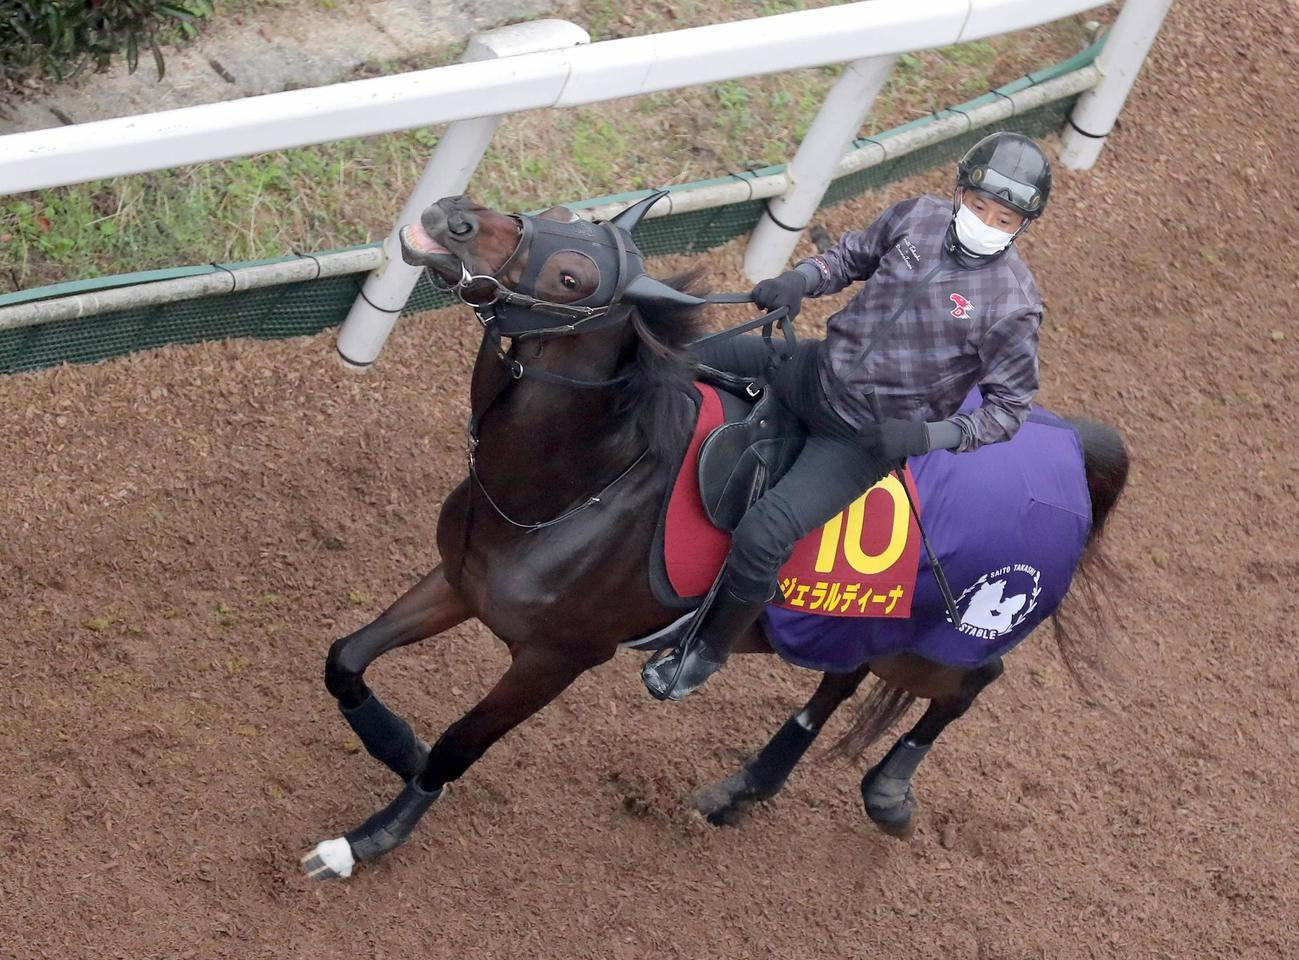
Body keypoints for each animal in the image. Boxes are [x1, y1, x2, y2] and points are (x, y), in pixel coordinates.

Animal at [301, 193, 1129, 880]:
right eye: (561, 214)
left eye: (572, 276)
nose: (451, 215)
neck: (578, 488)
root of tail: (1065, 450)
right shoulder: (459, 581)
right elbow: (345, 658)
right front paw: (395, 744)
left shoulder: (556, 657)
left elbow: (460, 742)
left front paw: (368, 839)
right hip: (860, 623)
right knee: (840, 680)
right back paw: (743, 790)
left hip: (939, 639)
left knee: (972, 682)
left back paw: (888, 793)